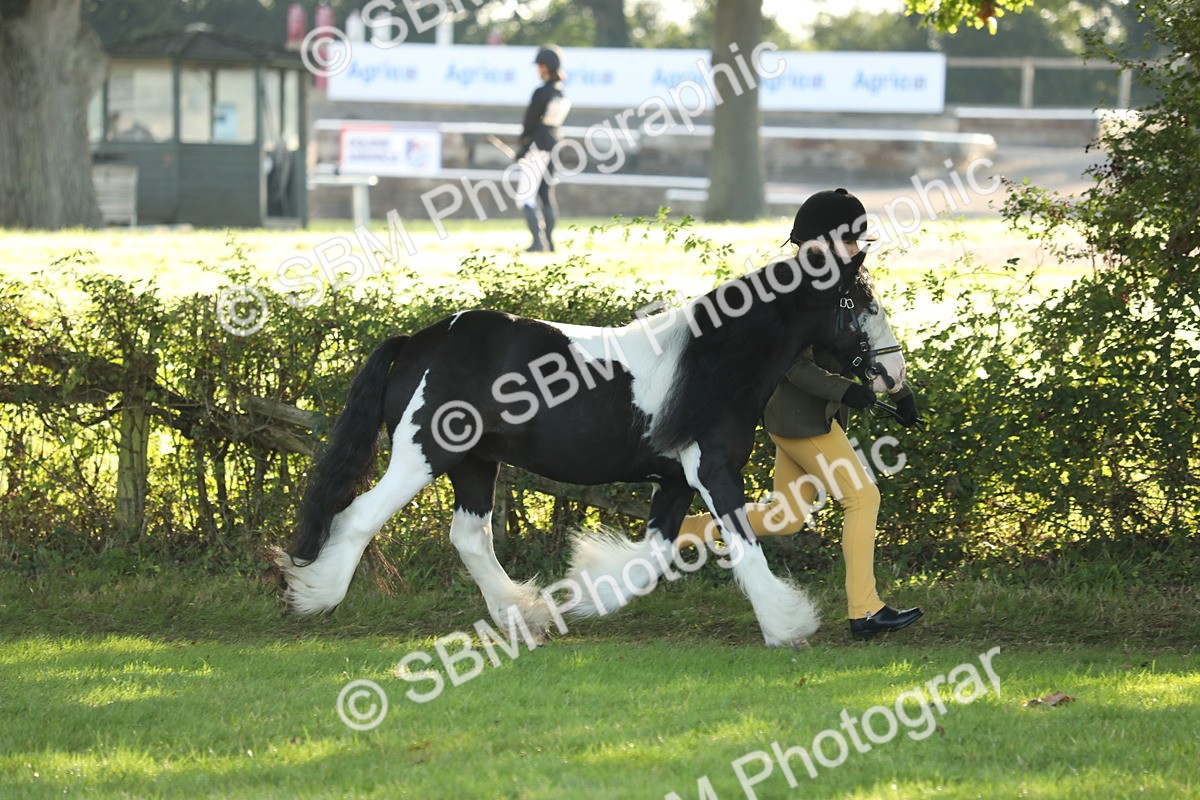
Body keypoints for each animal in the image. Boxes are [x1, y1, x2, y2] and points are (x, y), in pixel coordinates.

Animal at [272, 247, 906, 647]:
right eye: (860, 304)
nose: (894, 375)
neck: (712, 364)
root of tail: (416, 342)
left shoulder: (675, 482)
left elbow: (651, 558)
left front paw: (587, 586)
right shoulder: (712, 472)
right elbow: (745, 546)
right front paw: (787, 625)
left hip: (476, 464)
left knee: (470, 538)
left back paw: (524, 614)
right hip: (422, 456)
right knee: (358, 517)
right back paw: (313, 595)